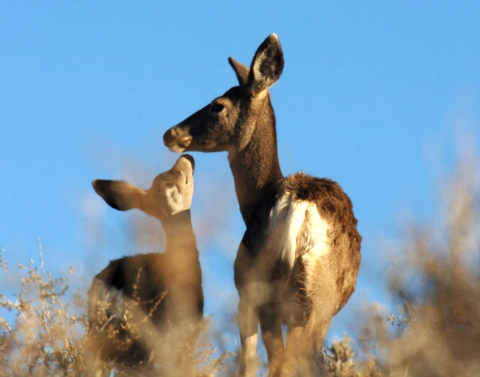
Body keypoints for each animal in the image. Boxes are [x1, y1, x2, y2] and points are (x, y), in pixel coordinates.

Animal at [163, 35, 362, 376]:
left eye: (217, 105)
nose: (171, 133)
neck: (255, 201)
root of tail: (299, 204)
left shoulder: (243, 293)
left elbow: (247, 362)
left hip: (271, 292)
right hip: (309, 304)